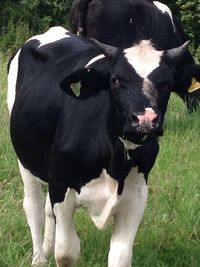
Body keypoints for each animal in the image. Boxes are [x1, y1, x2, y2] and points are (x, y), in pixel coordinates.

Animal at [7, 25, 189, 267]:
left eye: (166, 84)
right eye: (115, 80)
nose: (145, 119)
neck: (115, 163)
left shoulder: (137, 194)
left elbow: (120, 255)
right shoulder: (61, 186)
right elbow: (66, 252)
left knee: (45, 209)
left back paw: (45, 247)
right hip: (25, 160)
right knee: (33, 206)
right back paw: (39, 258)